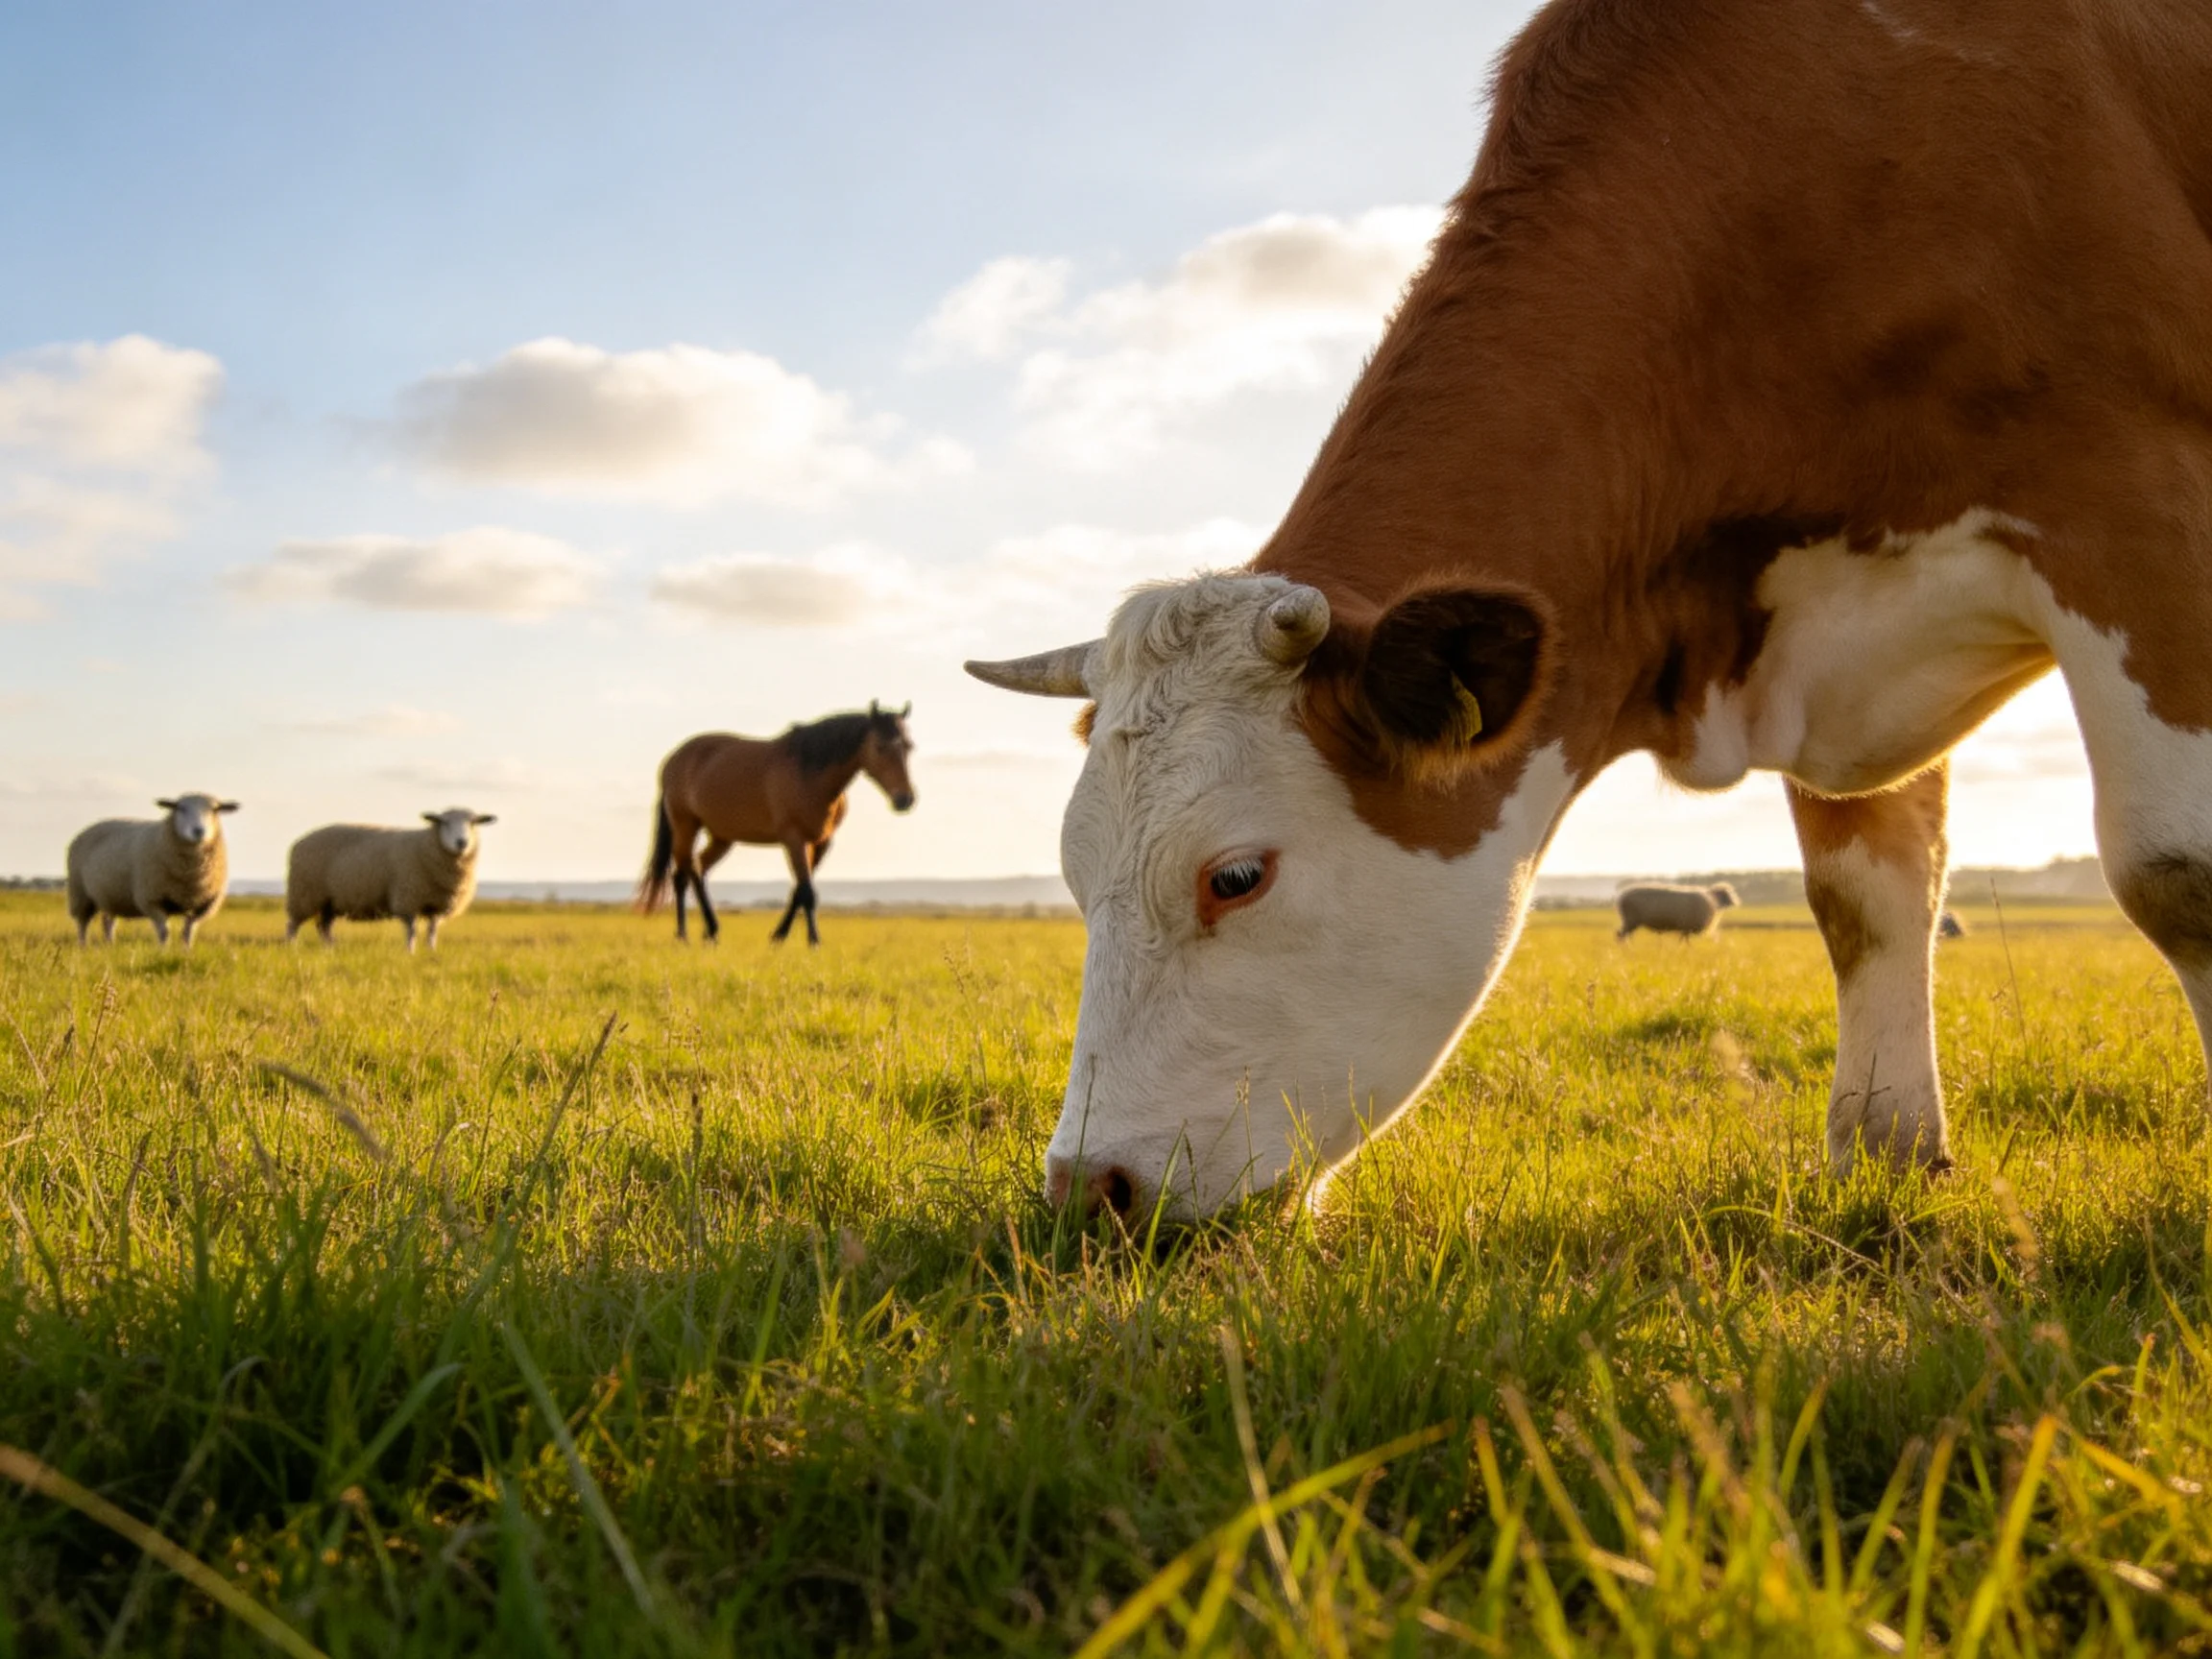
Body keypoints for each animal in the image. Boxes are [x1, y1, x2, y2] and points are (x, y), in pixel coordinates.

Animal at [65, 795, 238, 945]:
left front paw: (186, 953)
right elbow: (164, 932)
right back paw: (83, 946)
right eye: (180, 808)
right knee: (82, 923)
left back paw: (110, 946)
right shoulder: (151, 899)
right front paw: (164, 952)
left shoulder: (205, 905)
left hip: (111, 895)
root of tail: (87, 829)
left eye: (215, 810)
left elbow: (188, 932)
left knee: (108, 923)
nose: (198, 831)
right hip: (80, 893)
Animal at [285, 808, 495, 951]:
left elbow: (432, 930)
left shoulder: (438, 904)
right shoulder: (408, 899)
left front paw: (431, 951)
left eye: (474, 823)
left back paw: (331, 948)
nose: (462, 842)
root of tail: (298, 842)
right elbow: (412, 930)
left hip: (330, 901)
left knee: (324, 926)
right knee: (293, 924)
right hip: (304, 894)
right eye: (444, 822)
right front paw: (410, 952)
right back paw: (292, 947)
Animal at [636, 701, 915, 946]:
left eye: (909, 746)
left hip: (722, 836)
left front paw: (779, 936)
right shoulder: (794, 839)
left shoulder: (822, 843)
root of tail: (673, 760)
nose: (905, 799)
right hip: (686, 826)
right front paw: (814, 941)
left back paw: (710, 932)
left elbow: (799, 890)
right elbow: (807, 892)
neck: (809, 773)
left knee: (697, 868)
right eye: (880, 746)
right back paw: (686, 934)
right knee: (683, 873)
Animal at [1615, 881, 1739, 941]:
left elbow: (1684, 940)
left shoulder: (1685, 928)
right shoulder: (1687, 927)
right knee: (1621, 936)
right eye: (1727, 893)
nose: (1737, 902)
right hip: (1631, 920)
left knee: (1623, 935)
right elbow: (1685, 941)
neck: (1713, 901)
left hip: (1630, 922)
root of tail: (1622, 897)